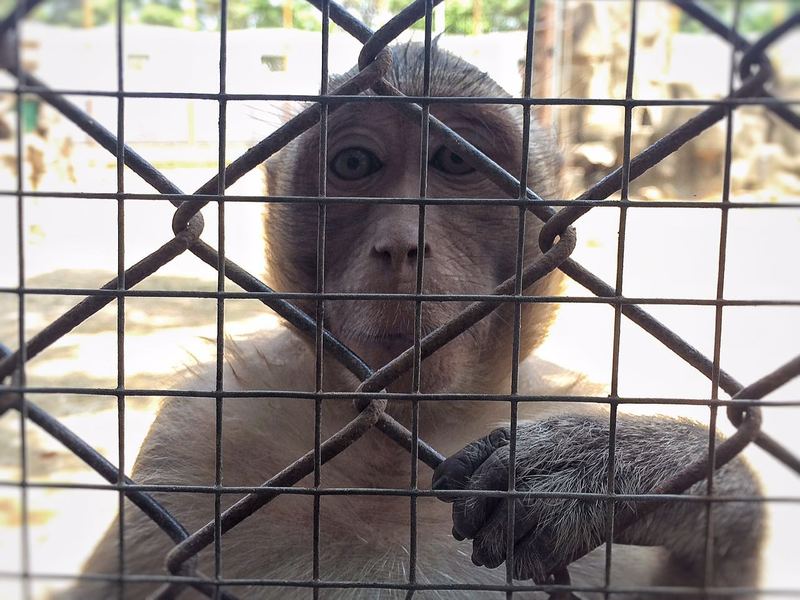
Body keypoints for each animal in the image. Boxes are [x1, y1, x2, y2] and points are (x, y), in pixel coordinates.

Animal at [58, 42, 763, 600]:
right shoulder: (196, 433)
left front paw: (629, 464)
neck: (393, 450)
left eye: (454, 162)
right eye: (353, 165)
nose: (402, 244)